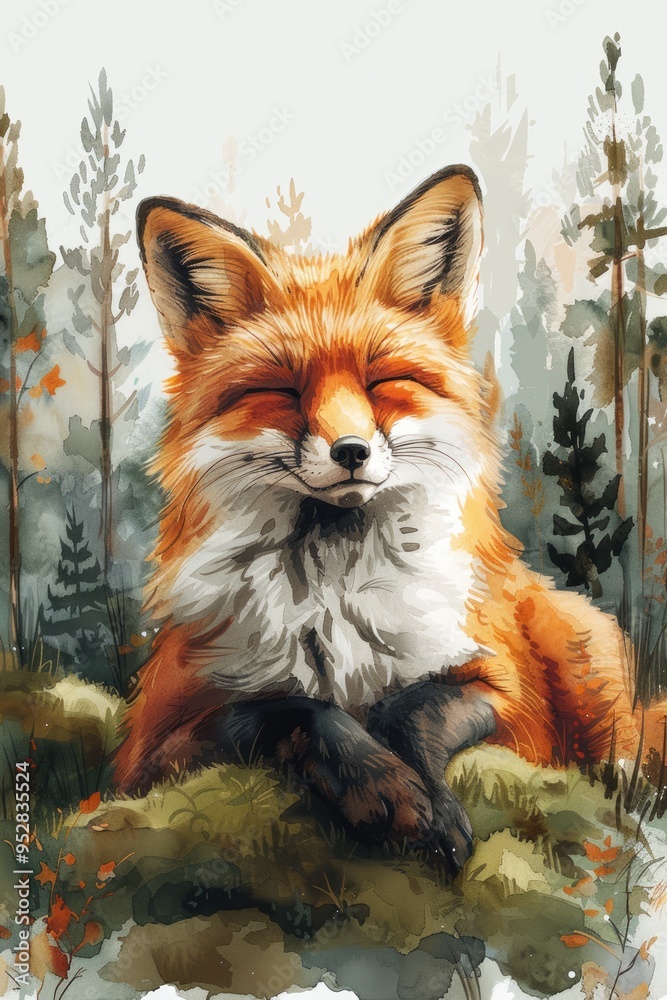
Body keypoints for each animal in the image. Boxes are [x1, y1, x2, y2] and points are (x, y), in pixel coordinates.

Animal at [115, 164, 654, 873]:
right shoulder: (160, 743)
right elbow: (294, 708)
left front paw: (430, 803)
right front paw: (387, 790)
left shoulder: (509, 699)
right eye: (282, 389)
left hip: (585, 649)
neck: (333, 598)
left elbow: (412, 707)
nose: (350, 451)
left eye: (380, 381)